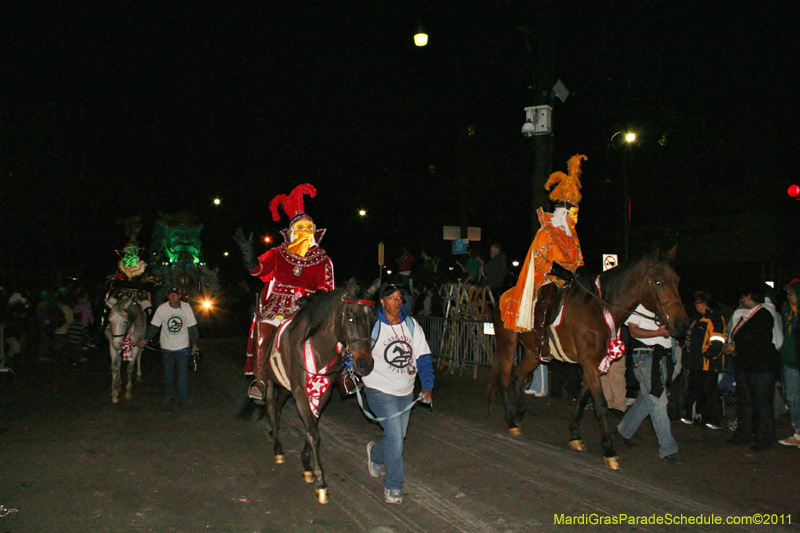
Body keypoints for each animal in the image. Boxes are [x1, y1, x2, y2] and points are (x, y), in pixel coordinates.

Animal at [262, 278, 376, 502]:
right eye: (350, 318)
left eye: (374, 319)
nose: (365, 365)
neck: (319, 347)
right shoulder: (299, 392)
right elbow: (314, 433)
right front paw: (321, 482)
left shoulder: (321, 393)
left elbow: (311, 426)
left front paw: (307, 464)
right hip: (272, 381)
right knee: (271, 408)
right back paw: (278, 448)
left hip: (286, 388)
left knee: (278, 407)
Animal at [484, 245, 692, 466]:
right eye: (658, 282)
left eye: (677, 280)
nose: (682, 324)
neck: (599, 310)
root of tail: (504, 295)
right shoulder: (589, 362)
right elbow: (600, 405)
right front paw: (609, 450)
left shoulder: (594, 364)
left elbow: (583, 399)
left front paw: (575, 435)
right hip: (507, 343)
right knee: (504, 378)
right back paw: (510, 421)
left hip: (533, 353)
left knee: (518, 375)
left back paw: (519, 414)